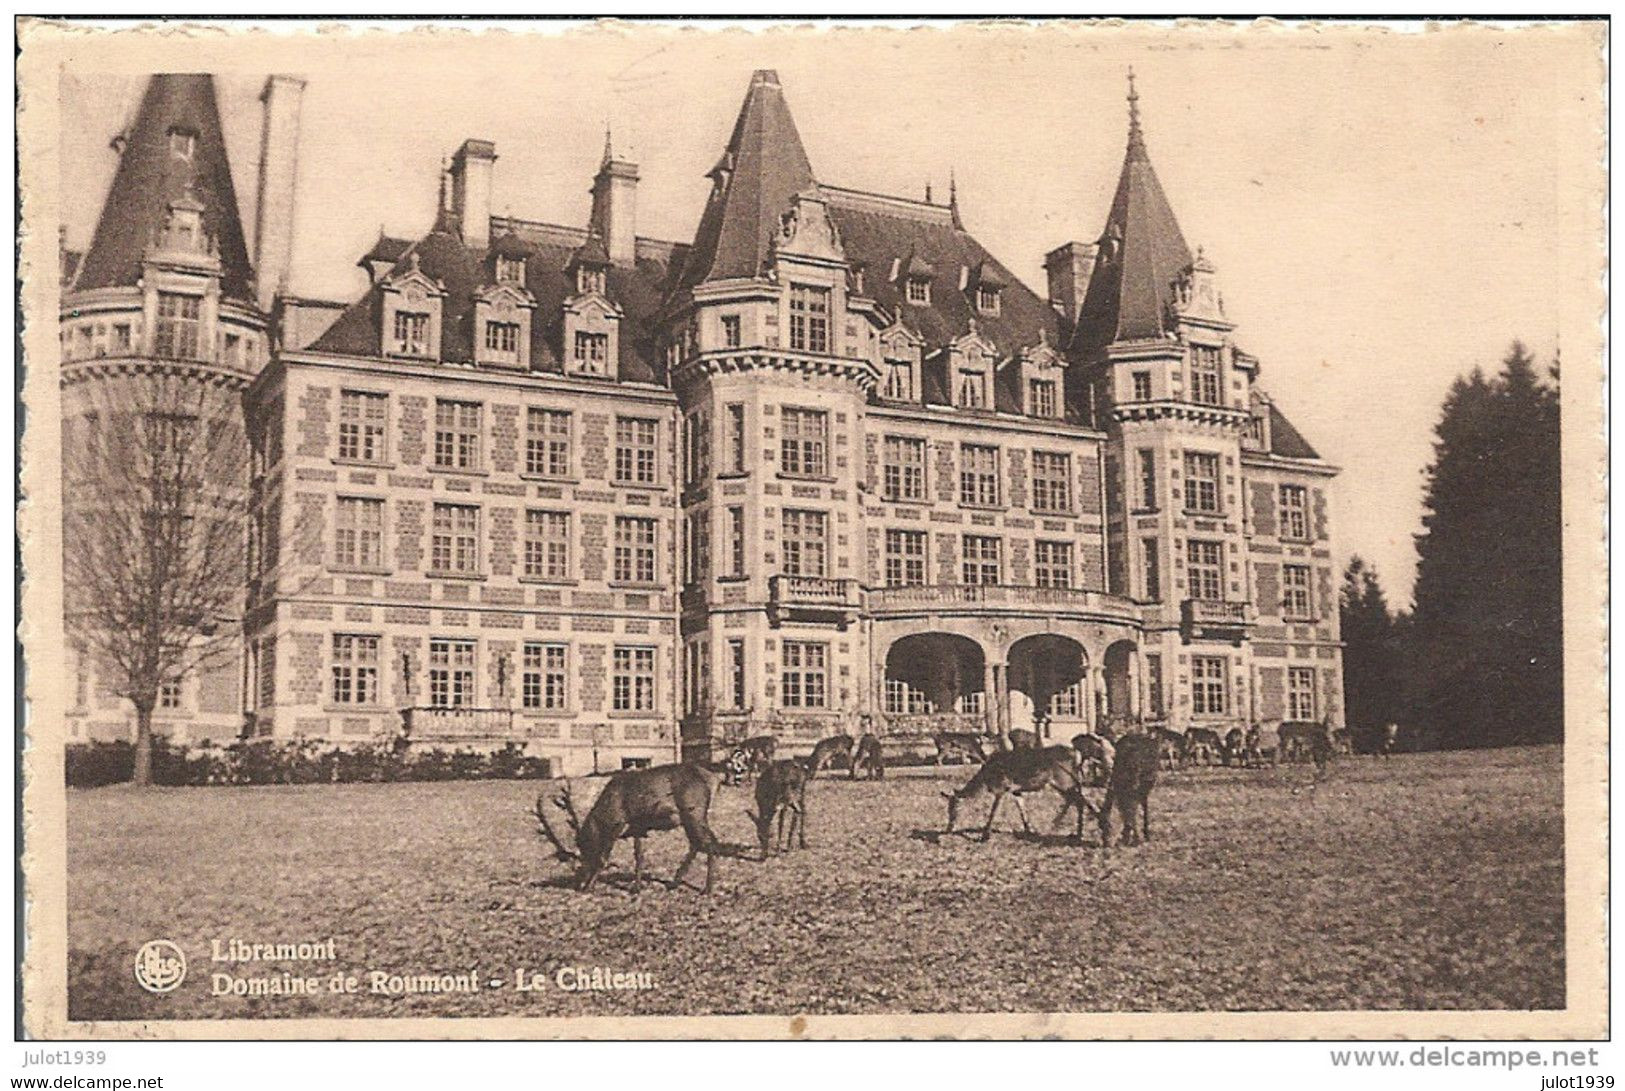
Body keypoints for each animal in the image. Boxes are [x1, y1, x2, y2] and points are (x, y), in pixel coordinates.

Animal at [575, 760, 721, 897]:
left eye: (585, 847)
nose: (580, 881)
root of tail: (714, 781)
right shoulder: (637, 826)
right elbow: (639, 856)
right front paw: (637, 888)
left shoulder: (618, 823)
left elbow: (603, 858)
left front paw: (588, 887)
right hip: (690, 819)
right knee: (697, 843)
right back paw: (674, 882)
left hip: (694, 813)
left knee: (709, 843)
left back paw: (708, 889)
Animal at [942, 747, 1092, 851]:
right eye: (947, 809)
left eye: (955, 807)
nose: (948, 828)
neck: (986, 779)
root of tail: (1078, 755)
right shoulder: (1016, 791)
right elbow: (1022, 809)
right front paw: (1029, 831)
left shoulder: (1001, 787)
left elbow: (993, 812)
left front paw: (984, 836)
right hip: (1064, 782)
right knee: (1075, 800)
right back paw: (1066, 828)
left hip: (1064, 780)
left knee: (1078, 800)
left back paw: (1070, 830)